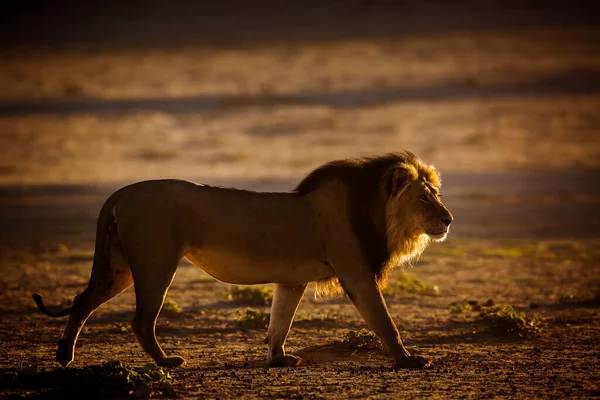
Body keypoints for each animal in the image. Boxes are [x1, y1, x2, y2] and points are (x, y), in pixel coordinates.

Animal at [32, 152, 452, 368]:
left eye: (435, 195)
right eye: (423, 198)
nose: (449, 219)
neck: (376, 212)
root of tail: (120, 192)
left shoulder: (292, 280)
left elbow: (279, 322)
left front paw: (277, 358)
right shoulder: (356, 275)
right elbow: (385, 322)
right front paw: (408, 360)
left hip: (118, 268)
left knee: (82, 302)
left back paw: (64, 356)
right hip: (155, 264)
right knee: (140, 321)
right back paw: (167, 363)